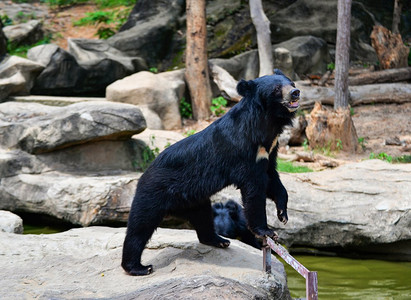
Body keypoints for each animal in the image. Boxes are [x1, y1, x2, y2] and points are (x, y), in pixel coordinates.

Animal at [122, 69, 300, 276]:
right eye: (277, 89)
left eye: (291, 83)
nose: (295, 92)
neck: (267, 122)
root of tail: (144, 174)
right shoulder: (244, 152)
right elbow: (254, 190)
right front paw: (267, 231)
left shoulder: (269, 150)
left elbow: (272, 177)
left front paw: (282, 214)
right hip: (154, 192)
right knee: (140, 227)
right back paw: (139, 267)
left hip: (194, 199)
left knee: (204, 218)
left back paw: (219, 240)